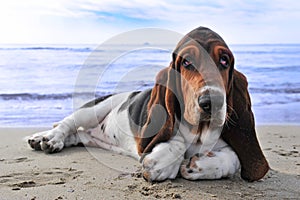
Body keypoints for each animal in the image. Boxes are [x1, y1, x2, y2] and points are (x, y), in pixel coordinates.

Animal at [27, 27, 268, 183]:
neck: (199, 132)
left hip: (91, 136)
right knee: (66, 124)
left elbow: (235, 158)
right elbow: (175, 140)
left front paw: (199, 167)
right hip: (93, 109)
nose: (212, 102)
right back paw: (47, 139)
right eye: (186, 62)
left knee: (78, 135)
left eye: (224, 60)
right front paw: (161, 162)